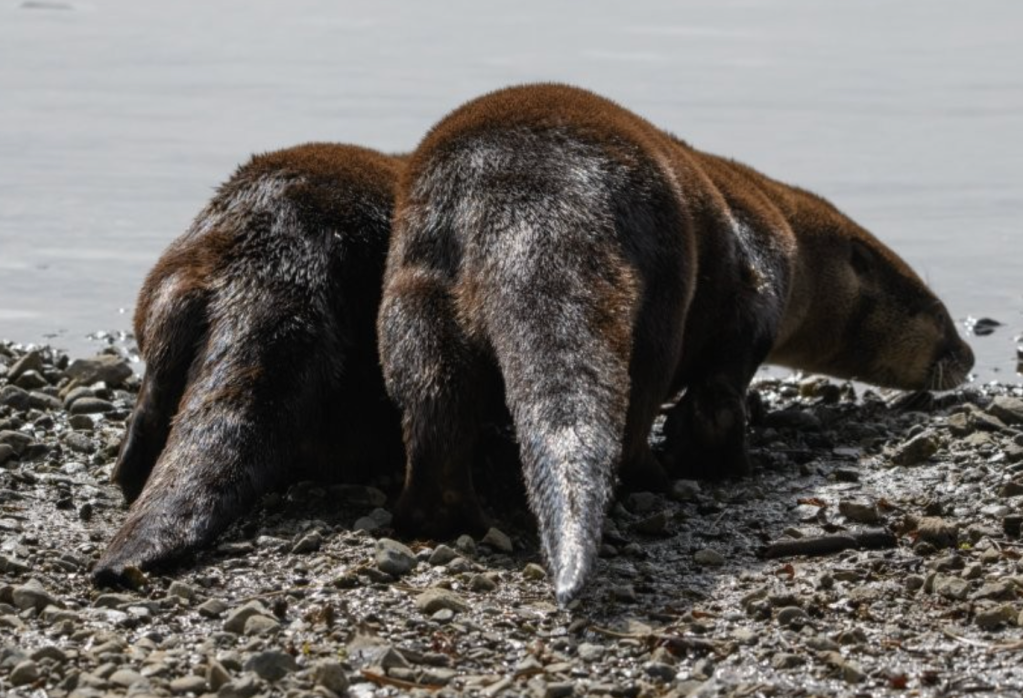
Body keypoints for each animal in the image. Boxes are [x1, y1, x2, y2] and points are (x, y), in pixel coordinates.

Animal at [377, 83, 973, 606]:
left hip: (415, 288)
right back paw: (667, 473)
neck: (796, 242)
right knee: (652, 404)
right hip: (664, 286)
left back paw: (443, 515)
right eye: (937, 314)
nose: (966, 357)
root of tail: (528, 195)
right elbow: (726, 373)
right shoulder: (764, 269)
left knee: (436, 401)